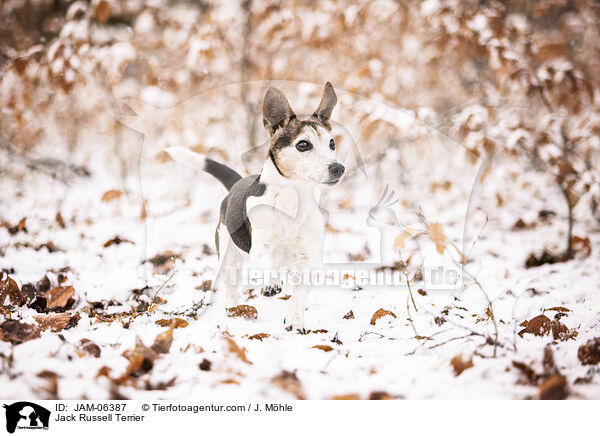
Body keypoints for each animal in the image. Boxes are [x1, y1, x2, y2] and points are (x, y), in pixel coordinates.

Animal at [166, 82, 344, 330]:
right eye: (303, 145)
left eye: (331, 144)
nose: (338, 168)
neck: (293, 199)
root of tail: (236, 183)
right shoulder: (259, 248)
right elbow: (267, 262)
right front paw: (270, 283)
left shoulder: (308, 260)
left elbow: (298, 295)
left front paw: (295, 320)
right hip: (228, 256)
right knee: (231, 287)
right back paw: (234, 310)